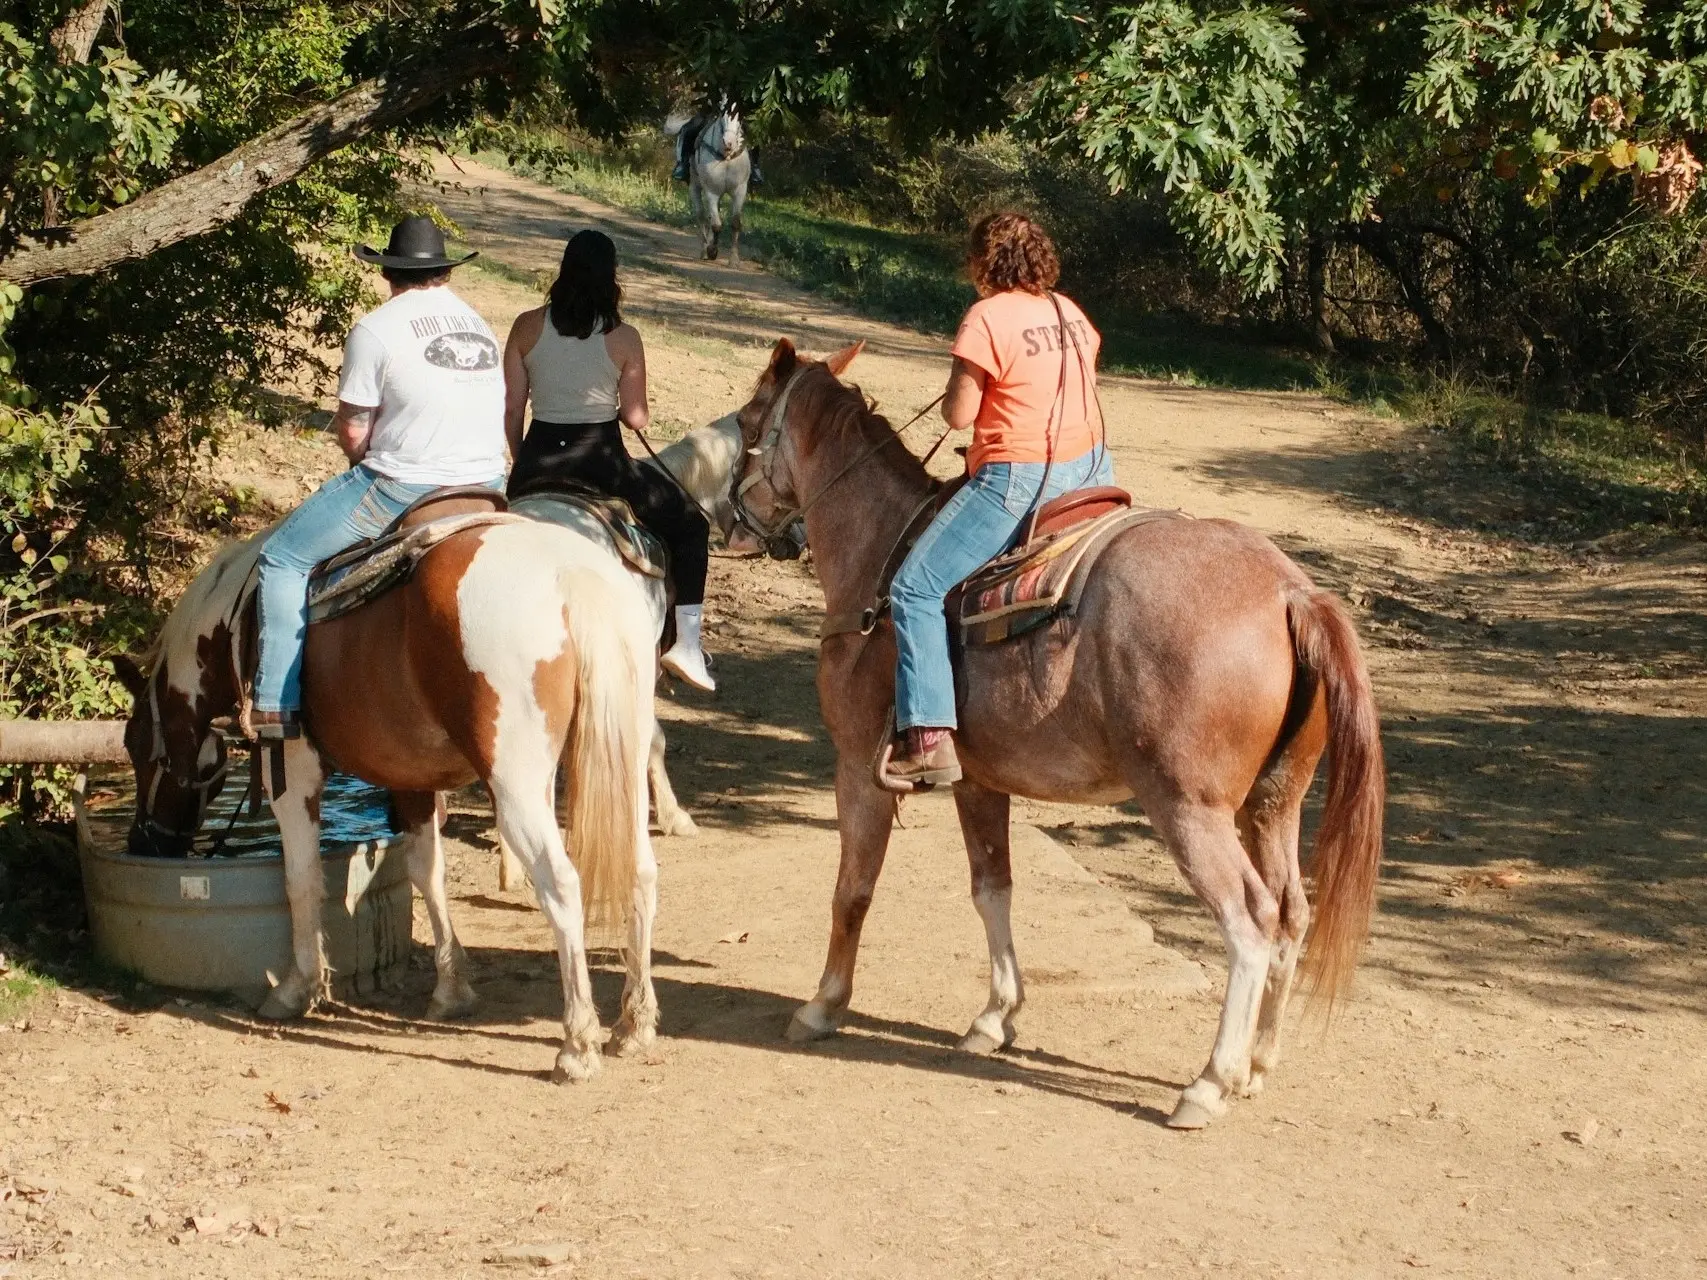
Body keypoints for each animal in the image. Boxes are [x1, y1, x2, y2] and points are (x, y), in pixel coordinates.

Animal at [115, 522, 658, 1085]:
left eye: (136, 745)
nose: (143, 841)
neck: (238, 622)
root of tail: (571, 575)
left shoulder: (293, 769)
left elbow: (301, 878)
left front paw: (297, 987)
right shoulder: (411, 776)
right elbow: (426, 871)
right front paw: (451, 990)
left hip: (517, 786)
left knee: (562, 885)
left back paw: (577, 1045)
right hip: (626, 760)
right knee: (641, 871)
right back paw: (633, 1024)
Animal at [734, 343, 1386, 1133]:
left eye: (746, 423)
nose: (732, 521)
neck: (879, 559)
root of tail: (1290, 592)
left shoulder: (858, 768)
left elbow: (851, 890)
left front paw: (824, 1004)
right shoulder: (977, 783)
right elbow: (992, 889)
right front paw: (994, 1016)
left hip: (1189, 810)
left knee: (1249, 921)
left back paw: (1208, 1082)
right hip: (1271, 804)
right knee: (1291, 915)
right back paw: (1257, 1064)